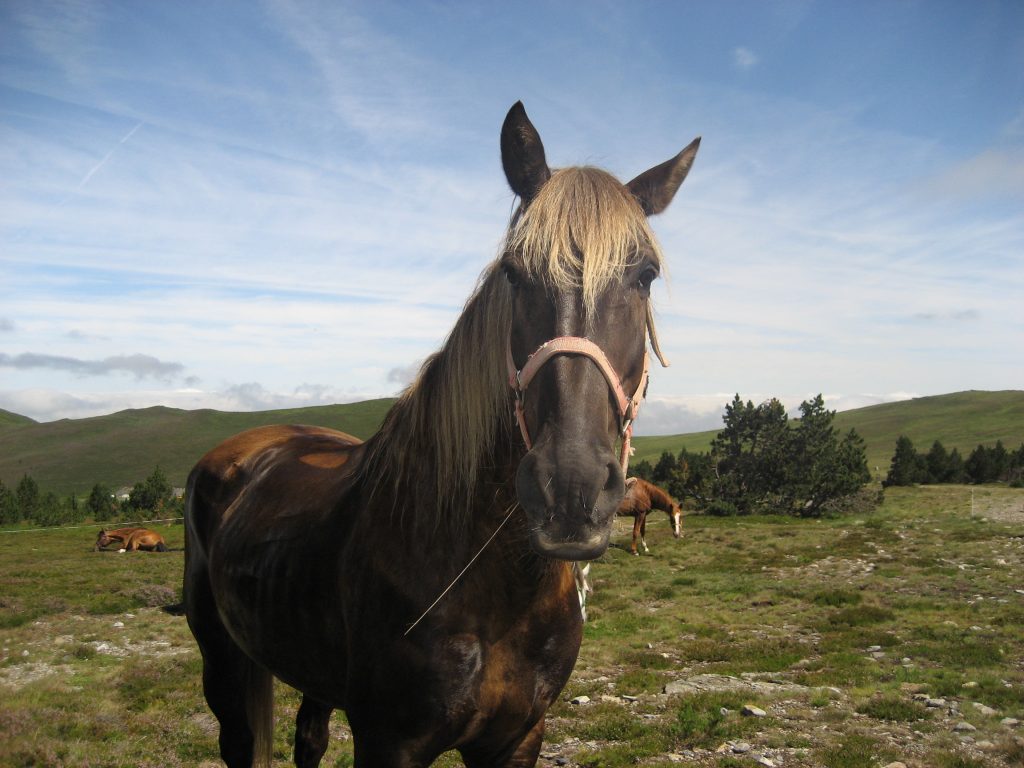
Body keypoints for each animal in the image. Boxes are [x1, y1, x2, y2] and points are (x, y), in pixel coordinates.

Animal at [183, 101, 699, 768]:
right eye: (514, 273)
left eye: (646, 276)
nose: (571, 491)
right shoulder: (389, 743)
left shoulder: (518, 738)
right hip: (221, 659)